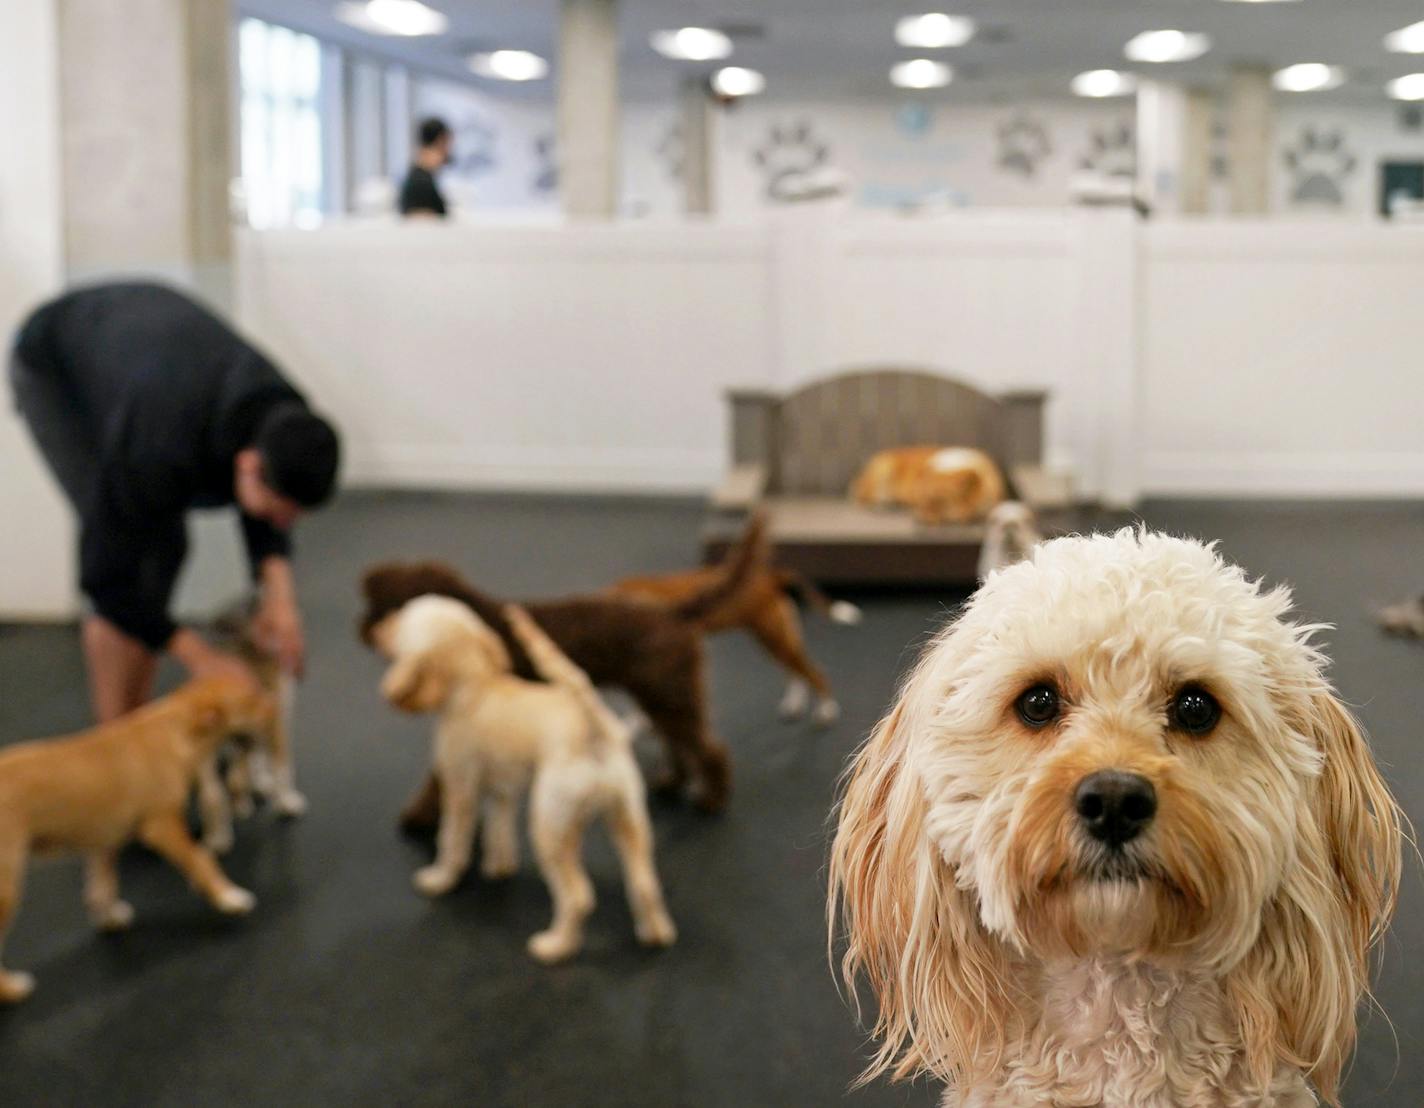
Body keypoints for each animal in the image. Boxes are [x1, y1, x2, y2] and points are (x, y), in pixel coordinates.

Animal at [0, 672, 270, 1002]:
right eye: (253, 699)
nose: (274, 708)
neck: (177, 726)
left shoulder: (103, 842)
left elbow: (102, 886)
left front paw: (109, 918)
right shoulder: (162, 826)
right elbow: (200, 861)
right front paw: (228, 896)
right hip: (6, 888)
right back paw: (12, 989)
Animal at [370, 592, 674, 962]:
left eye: (403, 618)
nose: (378, 628)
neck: (474, 685)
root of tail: (597, 730)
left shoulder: (460, 789)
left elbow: (451, 841)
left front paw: (439, 880)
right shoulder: (502, 792)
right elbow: (498, 832)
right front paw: (498, 868)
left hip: (551, 828)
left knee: (578, 897)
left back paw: (554, 947)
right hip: (628, 819)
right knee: (645, 885)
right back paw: (656, 934)